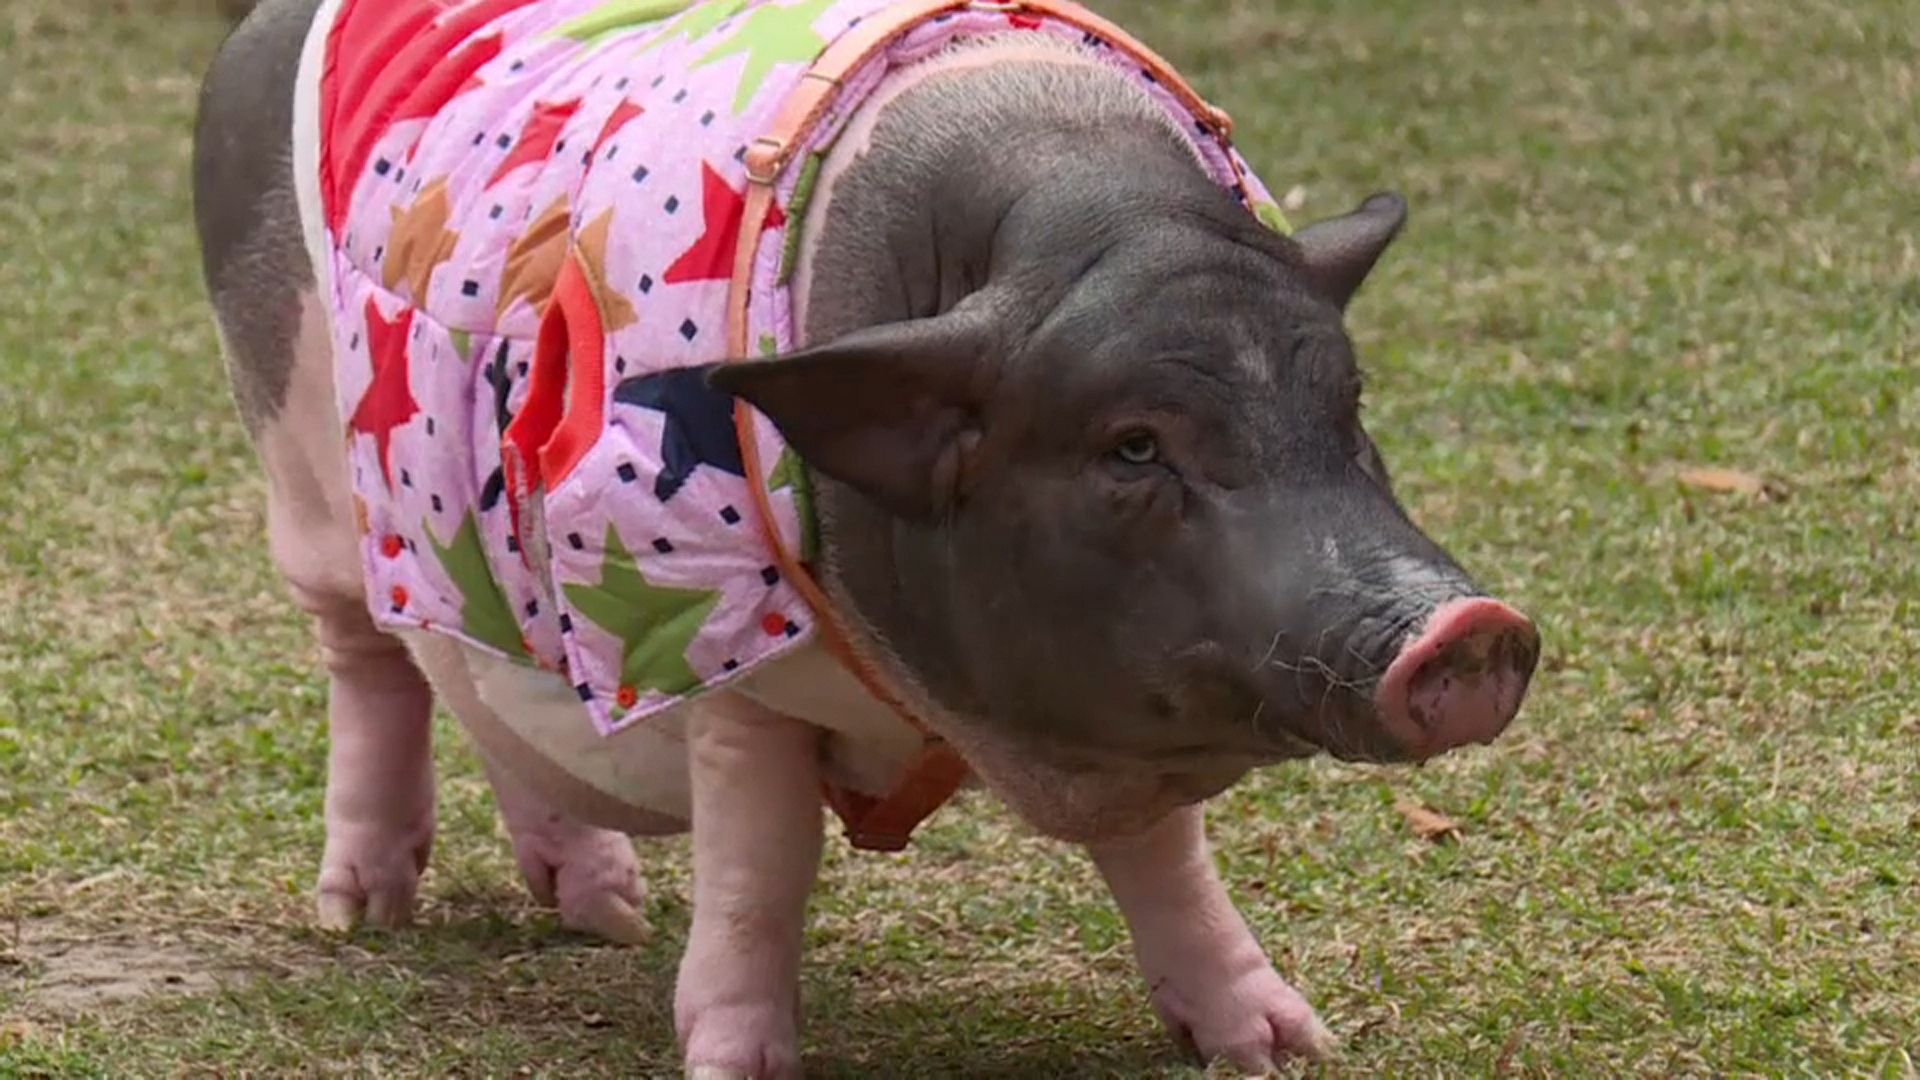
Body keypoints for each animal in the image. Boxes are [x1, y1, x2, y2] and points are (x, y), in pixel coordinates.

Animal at [191, 0, 1543, 1068]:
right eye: (1133, 446)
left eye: (1348, 403)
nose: (1471, 629)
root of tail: (261, 26)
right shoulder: (717, 655)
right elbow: (762, 868)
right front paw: (739, 1064)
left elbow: (1165, 857)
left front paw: (1288, 1046)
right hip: (303, 466)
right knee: (372, 663)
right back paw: (360, 913)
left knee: (488, 689)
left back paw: (606, 916)